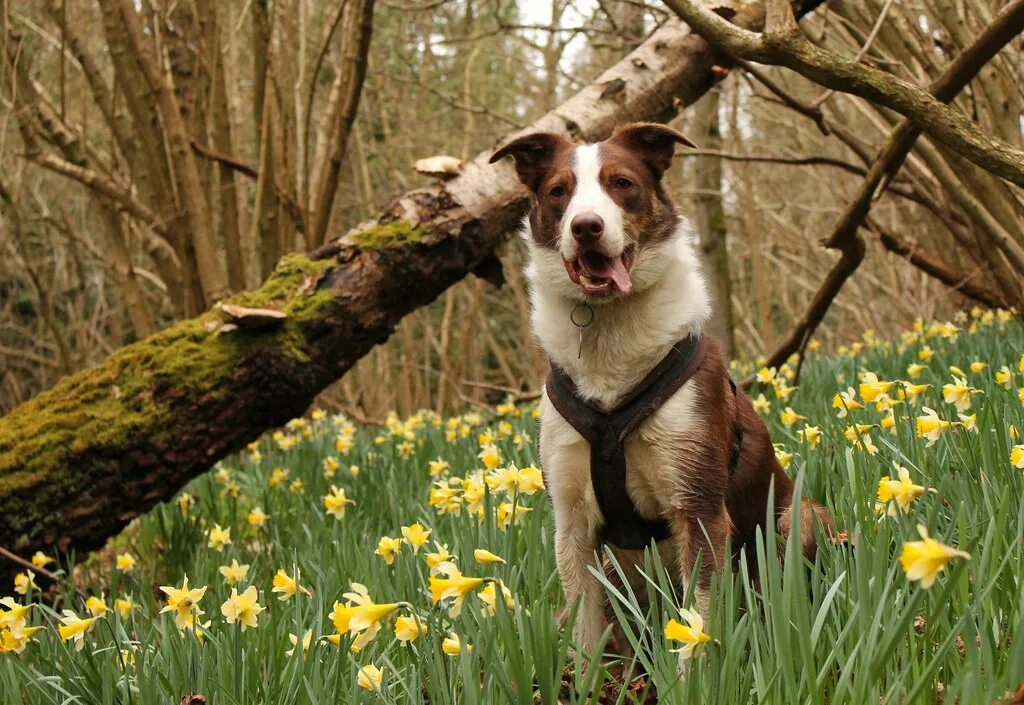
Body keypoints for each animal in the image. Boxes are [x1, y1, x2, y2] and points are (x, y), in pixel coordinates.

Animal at [489, 123, 831, 668]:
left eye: (622, 183)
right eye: (559, 192)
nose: (586, 227)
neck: (609, 341)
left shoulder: (698, 506)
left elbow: (696, 622)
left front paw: (695, 679)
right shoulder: (570, 520)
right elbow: (585, 631)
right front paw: (587, 679)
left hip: (799, 518)